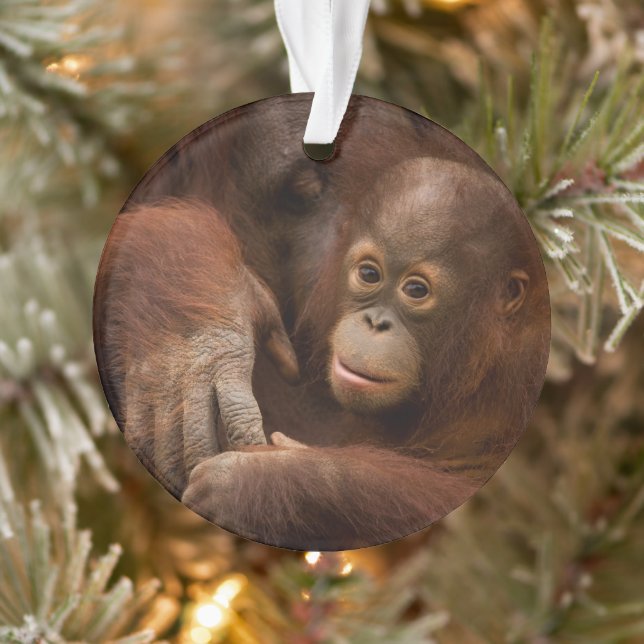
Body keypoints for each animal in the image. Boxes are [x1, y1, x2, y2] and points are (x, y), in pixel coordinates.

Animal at [94, 95, 550, 550]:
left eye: (417, 290)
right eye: (369, 274)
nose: (375, 323)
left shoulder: (517, 374)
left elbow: (451, 493)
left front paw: (259, 478)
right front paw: (199, 335)